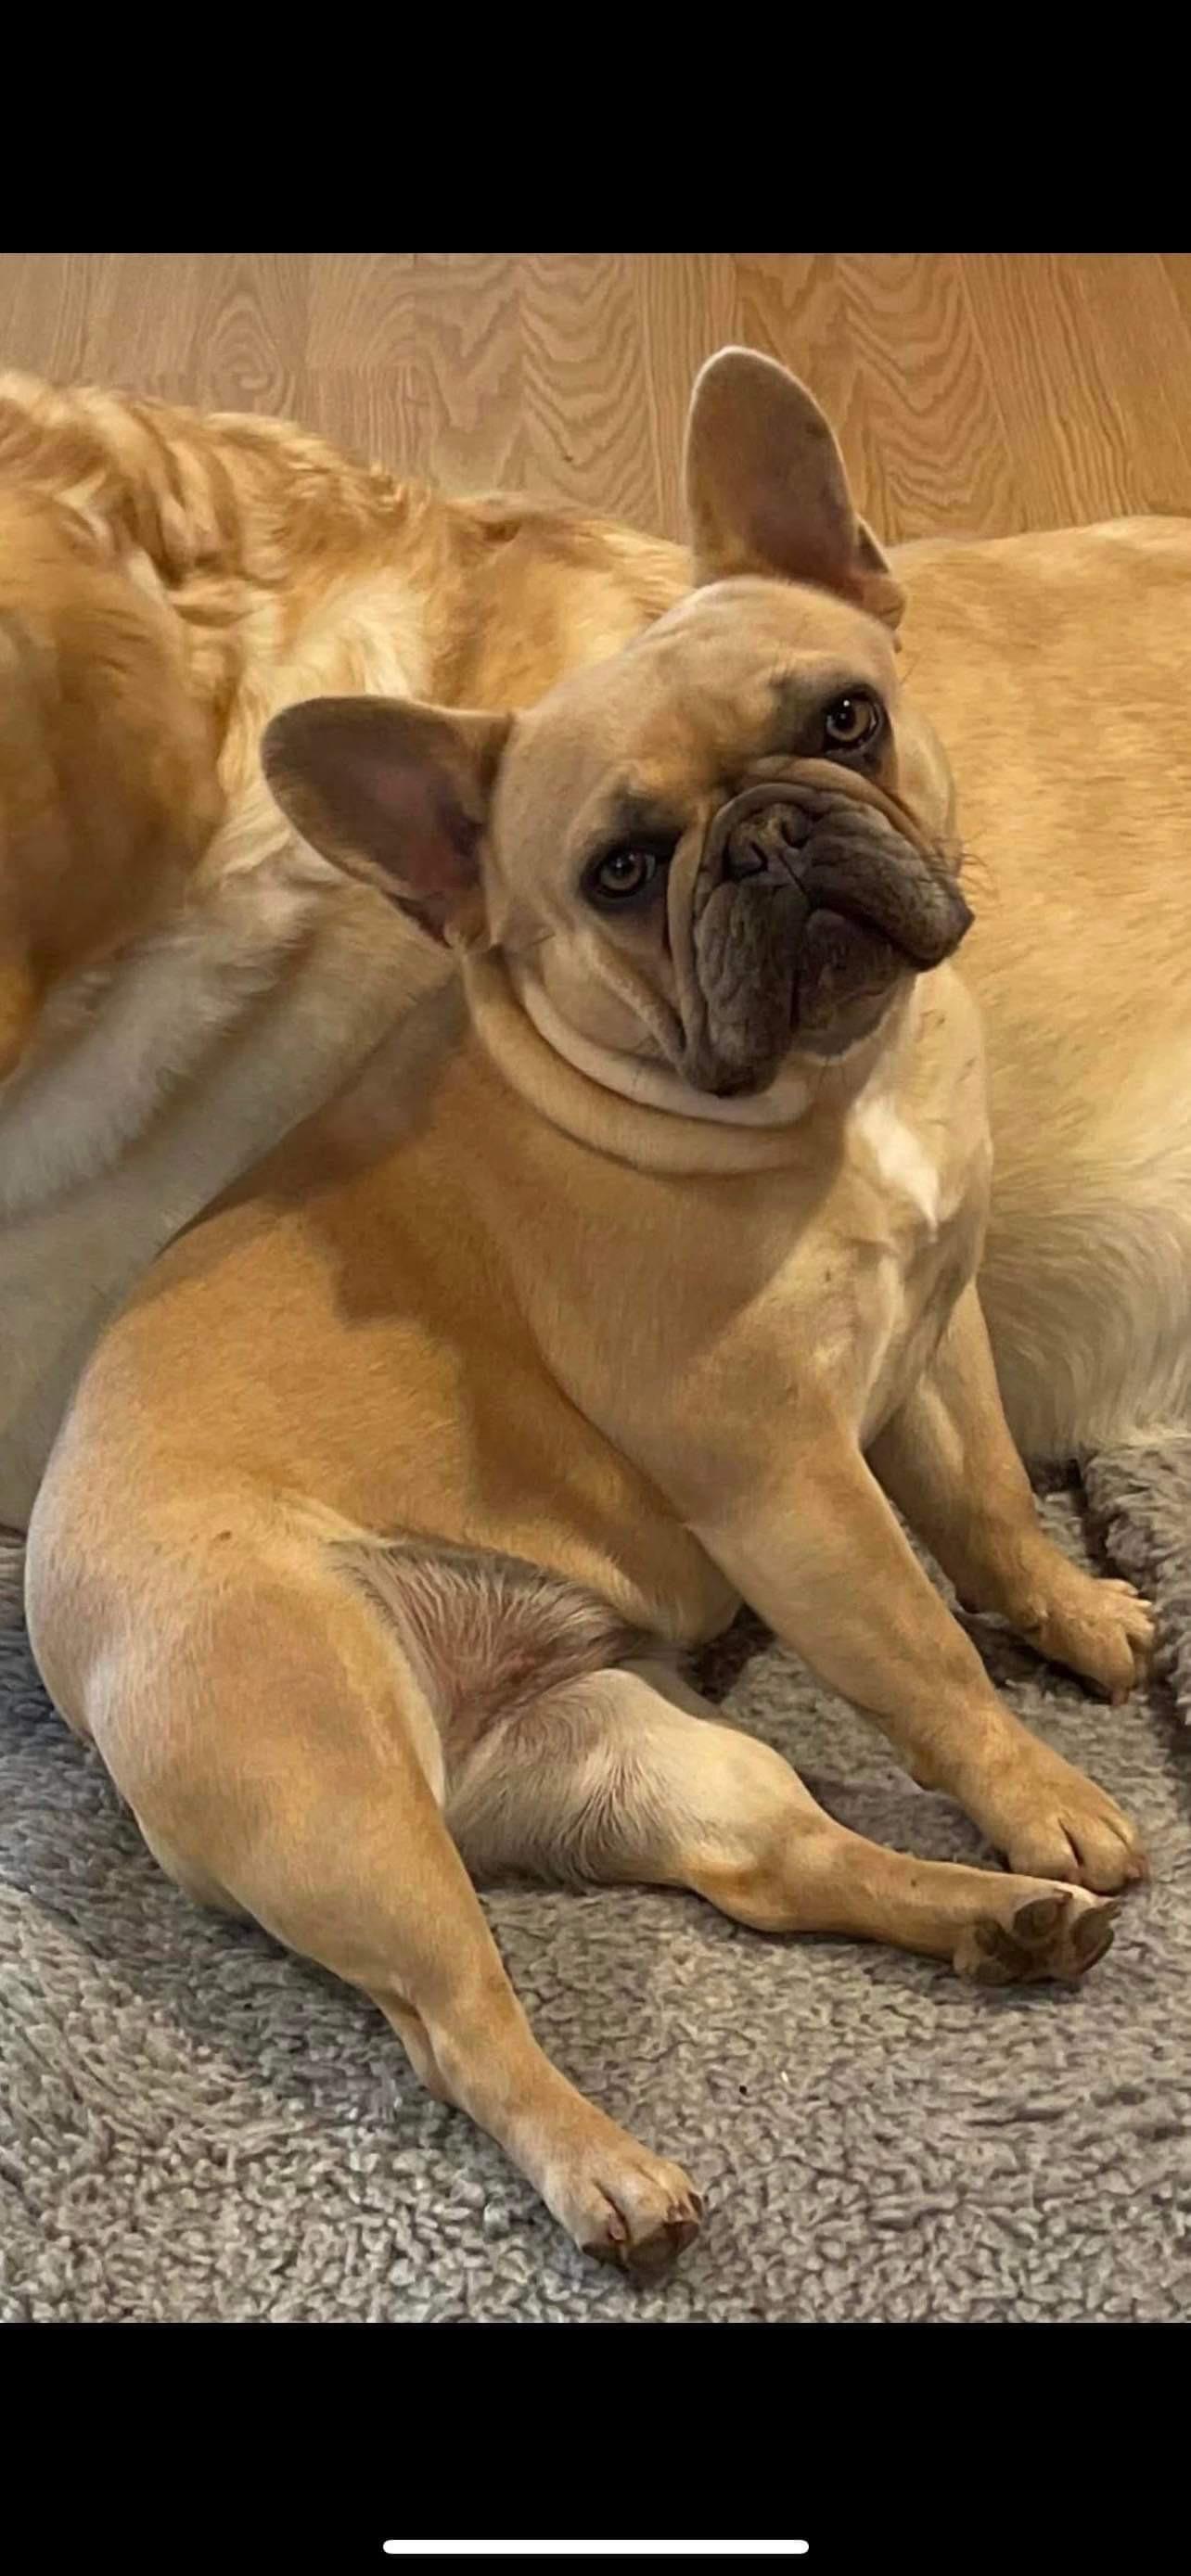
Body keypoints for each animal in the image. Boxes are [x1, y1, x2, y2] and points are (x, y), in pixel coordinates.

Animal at [25, 351, 1161, 2274]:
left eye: (843, 718)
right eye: (620, 871)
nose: (760, 835)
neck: (825, 1098)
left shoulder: (934, 1347)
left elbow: (993, 1514)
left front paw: (1076, 1622)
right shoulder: (784, 1479)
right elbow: (920, 1650)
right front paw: (1045, 1793)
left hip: (634, 1751)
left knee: (773, 1865)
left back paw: (988, 1919)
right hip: (333, 1791)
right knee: (457, 2020)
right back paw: (610, 2169)